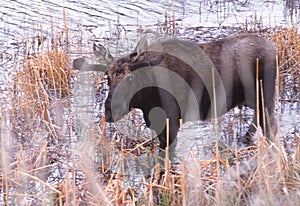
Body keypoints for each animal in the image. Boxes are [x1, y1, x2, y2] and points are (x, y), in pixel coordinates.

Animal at [73, 33, 276, 151]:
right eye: (107, 78)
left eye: (130, 79)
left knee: (269, 128)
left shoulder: (170, 124)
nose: (109, 111)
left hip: (264, 98)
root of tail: (274, 50)